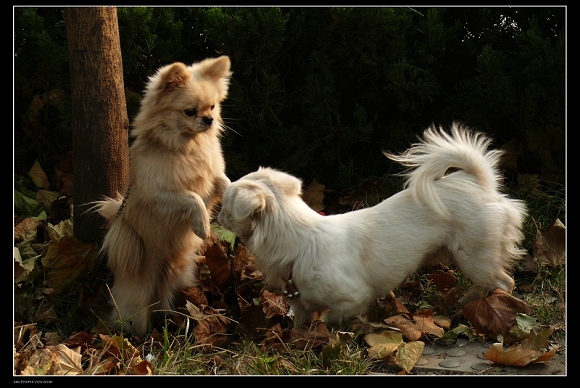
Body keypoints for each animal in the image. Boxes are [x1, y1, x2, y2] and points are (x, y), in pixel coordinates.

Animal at [94, 55, 232, 336]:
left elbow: (223, 182)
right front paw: (203, 226)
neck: (188, 147)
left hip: (179, 277)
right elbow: (192, 198)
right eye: (190, 111)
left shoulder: (211, 179)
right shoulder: (159, 196)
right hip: (137, 299)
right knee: (133, 318)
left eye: (212, 107)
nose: (209, 119)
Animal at [216, 123, 524, 328]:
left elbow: (332, 318)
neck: (301, 243)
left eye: (226, 204)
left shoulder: (353, 298)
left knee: (502, 281)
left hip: (474, 255)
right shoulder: (300, 303)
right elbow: (301, 322)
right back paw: (469, 301)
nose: (216, 213)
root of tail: (478, 183)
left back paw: (496, 305)